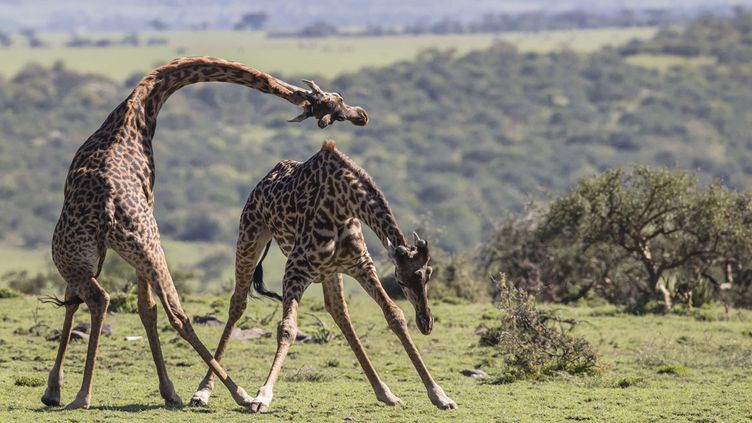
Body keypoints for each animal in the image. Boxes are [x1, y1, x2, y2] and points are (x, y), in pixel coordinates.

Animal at [42, 56, 368, 410]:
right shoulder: (101, 250)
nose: (360, 115)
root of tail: (109, 206)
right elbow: (105, 305)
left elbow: (136, 307)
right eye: (334, 102)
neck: (137, 112)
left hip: (112, 248)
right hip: (115, 247)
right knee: (149, 308)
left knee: (132, 305)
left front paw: (54, 389)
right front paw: (53, 390)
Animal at [189, 140, 458, 414]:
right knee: (238, 303)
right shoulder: (296, 268)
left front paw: (440, 395)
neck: (343, 204)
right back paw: (203, 391)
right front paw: (262, 396)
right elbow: (287, 328)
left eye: (428, 276)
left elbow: (395, 315)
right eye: (401, 282)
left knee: (339, 311)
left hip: (331, 270)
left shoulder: (361, 265)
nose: (426, 323)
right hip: (249, 236)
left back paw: (384, 392)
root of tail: (264, 179)